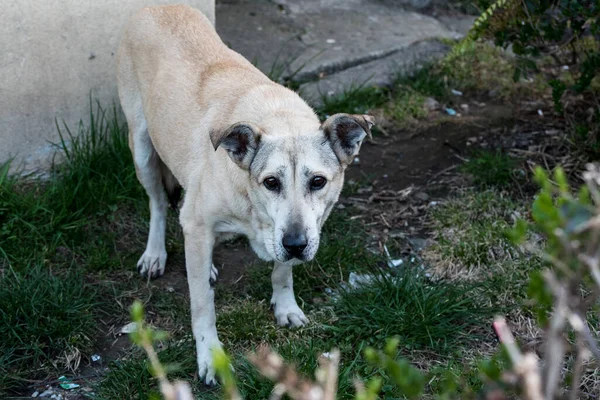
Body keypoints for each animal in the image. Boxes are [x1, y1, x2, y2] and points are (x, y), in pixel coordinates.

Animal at [115, 3, 372, 384]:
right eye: (271, 182)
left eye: (318, 181)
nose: (296, 245)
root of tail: (156, 6)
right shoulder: (200, 222)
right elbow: (203, 305)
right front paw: (210, 357)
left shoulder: (290, 232)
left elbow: (282, 271)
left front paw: (286, 306)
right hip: (142, 149)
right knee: (159, 203)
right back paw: (155, 253)